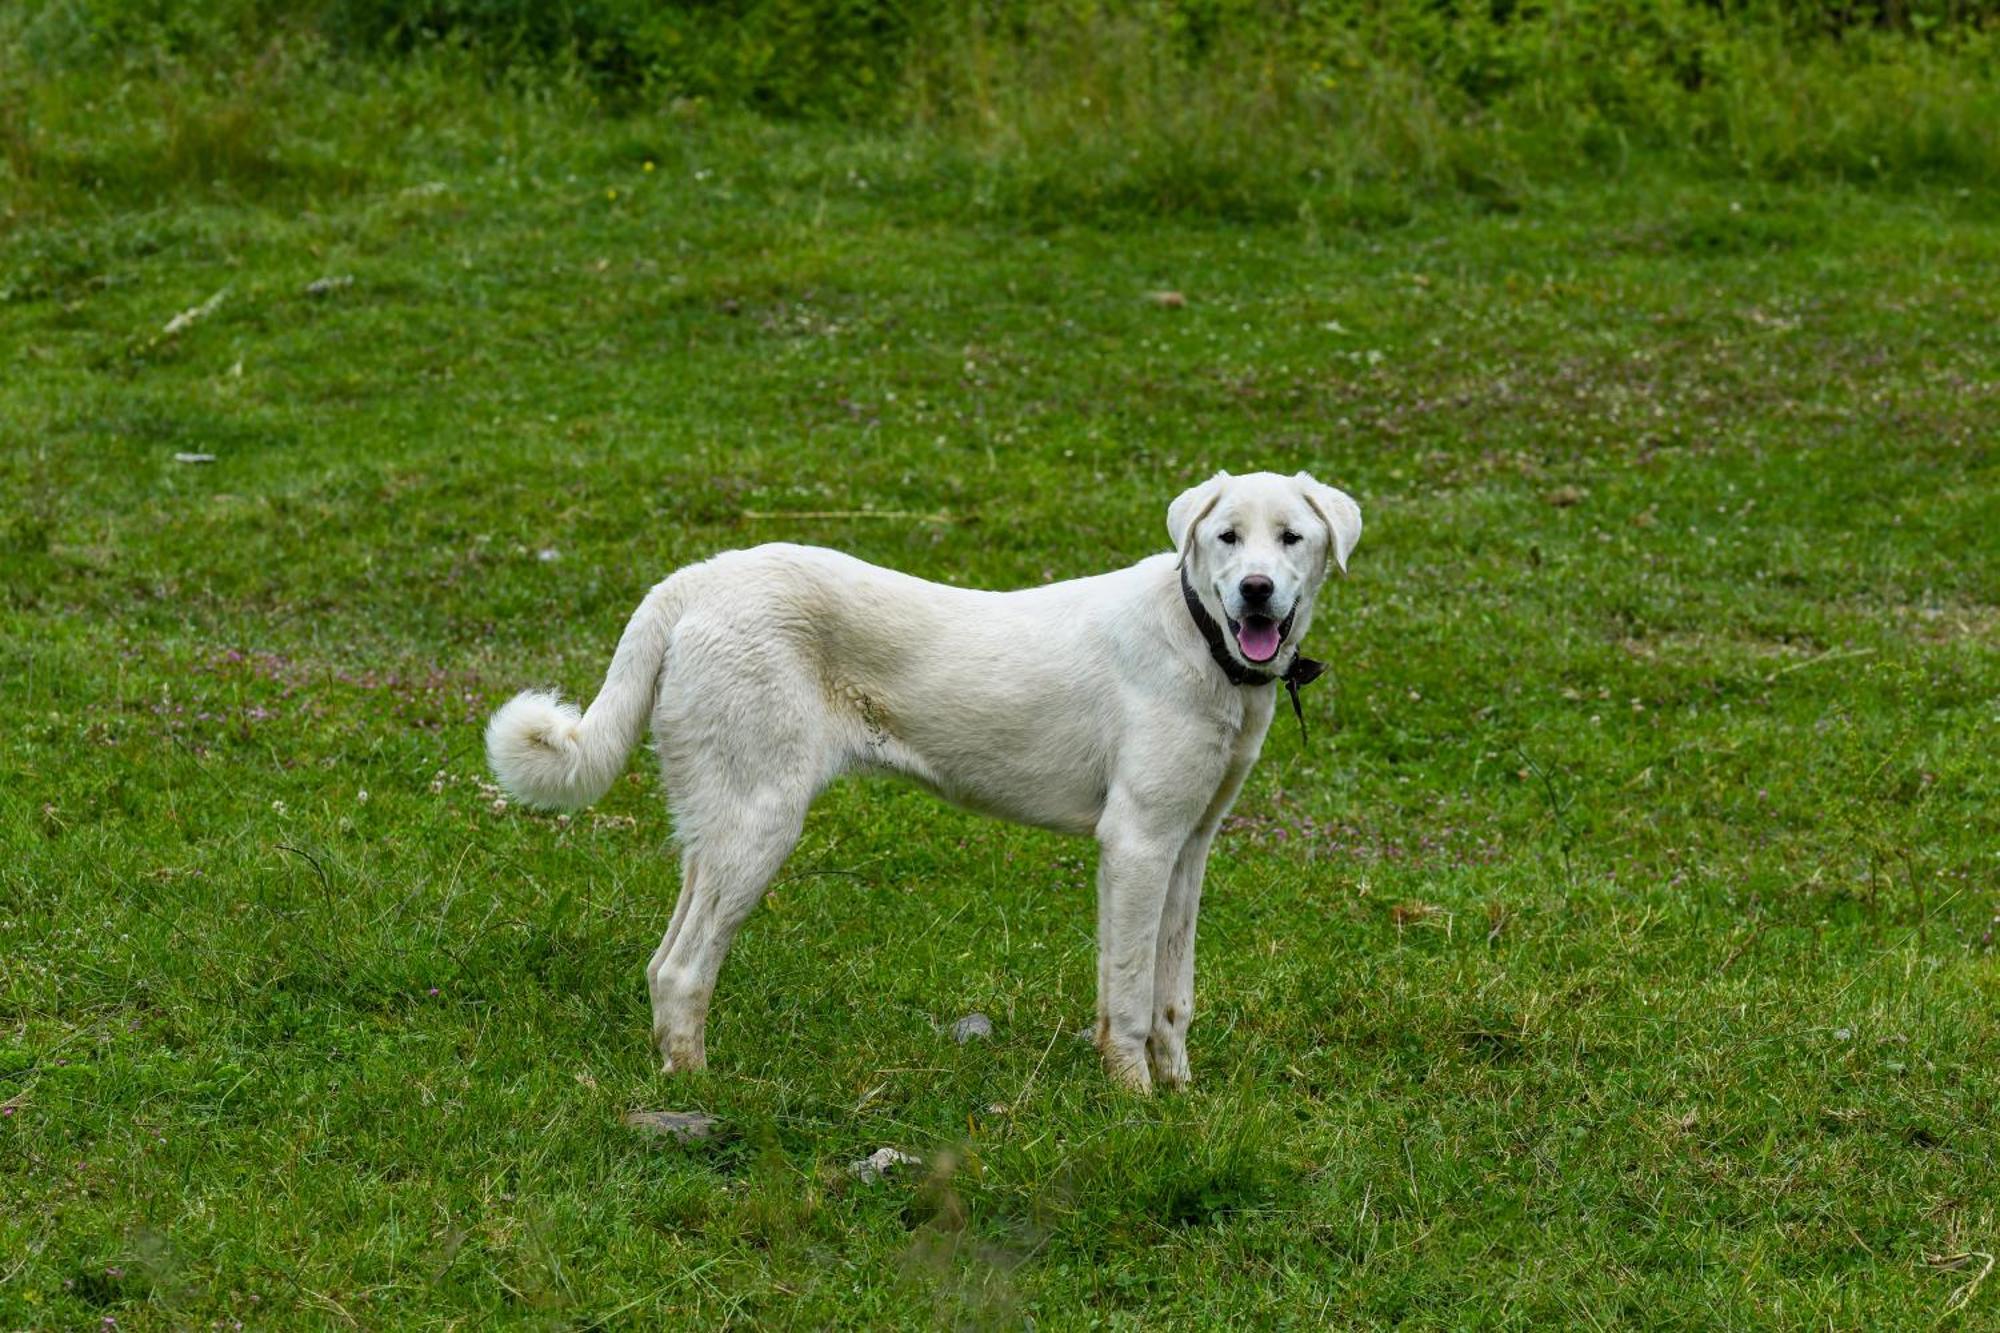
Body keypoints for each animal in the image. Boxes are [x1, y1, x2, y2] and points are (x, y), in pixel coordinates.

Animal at [484, 470, 1360, 1088]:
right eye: (1226, 537)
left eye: (1290, 538)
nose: (1255, 589)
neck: (1203, 638)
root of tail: (698, 577)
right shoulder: (1137, 843)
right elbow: (1129, 996)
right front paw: (1132, 1103)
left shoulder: (1187, 848)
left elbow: (1172, 995)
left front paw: (1178, 1096)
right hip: (761, 824)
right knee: (683, 967)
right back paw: (702, 1088)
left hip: (720, 824)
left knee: (663, 958)